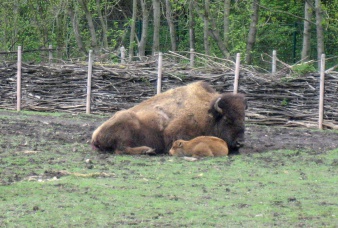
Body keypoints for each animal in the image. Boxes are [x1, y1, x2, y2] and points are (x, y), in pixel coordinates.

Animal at [91, 80, 247, 155]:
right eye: (227, 119)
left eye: (243, 118)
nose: (240, 142)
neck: (209, 114)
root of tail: (95, 135)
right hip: (127, 122)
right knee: (121, 149)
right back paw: (148, 150)